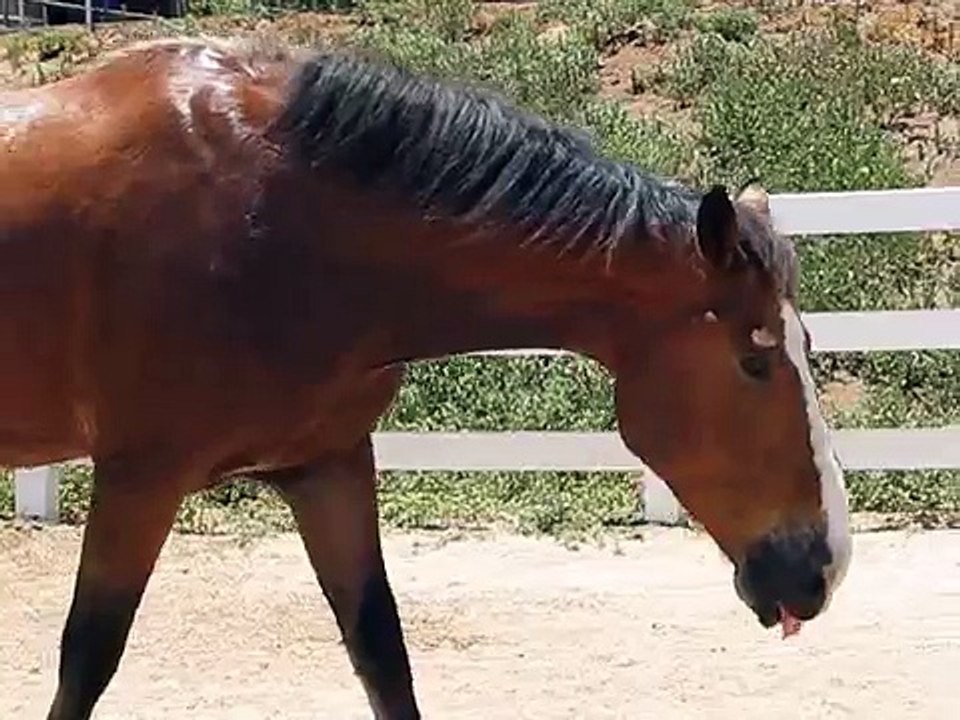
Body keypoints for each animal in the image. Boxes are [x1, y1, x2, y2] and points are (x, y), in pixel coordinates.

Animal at [0, 36, 851, 719]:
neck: (273, 219)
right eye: (754, 360)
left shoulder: (327, 467)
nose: (824, 567)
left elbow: (382, 652)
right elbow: (88, 659)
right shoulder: (140, 477)